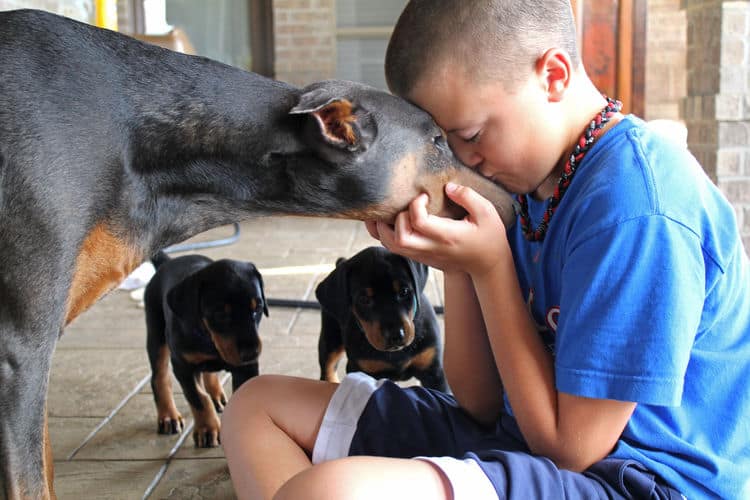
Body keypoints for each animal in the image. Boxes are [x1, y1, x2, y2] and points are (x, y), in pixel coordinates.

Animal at [142, 252, 268, 448]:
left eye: (258, 308)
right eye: (221, 314)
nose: (251, 353)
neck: (209, 339)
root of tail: (168, 261)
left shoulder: (247, 368)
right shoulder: (183, 366)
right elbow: (198, 398)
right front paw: (207, 429)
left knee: (207, 372)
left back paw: (216, 395)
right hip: (156, 333)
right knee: (159, 376)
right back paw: (168, 416)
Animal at [316, 246, 446, 390]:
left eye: (404, 291)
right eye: (364, 299)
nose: (395, 335)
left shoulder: (434, 372)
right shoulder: (359, 370)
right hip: (330, 337)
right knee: (328, 368)